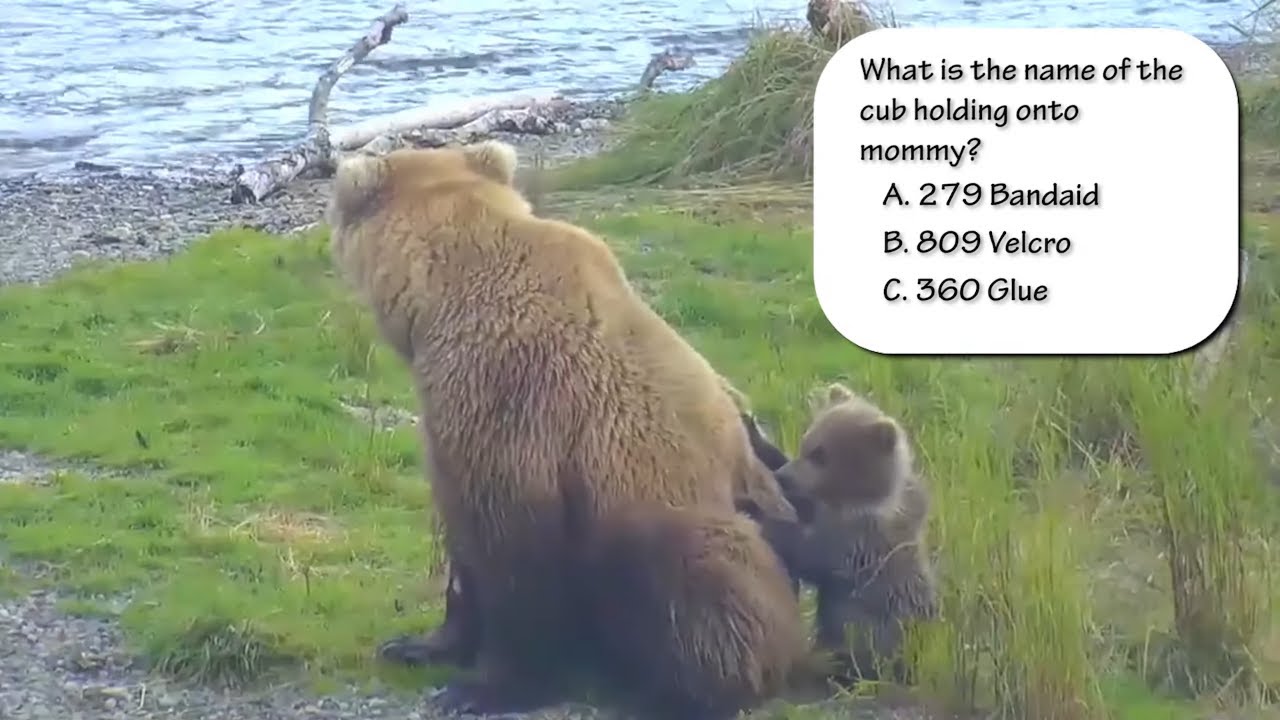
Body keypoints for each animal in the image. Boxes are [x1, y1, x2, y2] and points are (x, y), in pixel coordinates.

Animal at [736, 382, 938, 685]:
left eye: (821, 454)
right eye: (806, 441)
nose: (784, 477)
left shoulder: (861, 538)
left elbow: (810, 553)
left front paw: (752, 508)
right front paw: (753, 432)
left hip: (881, 630)